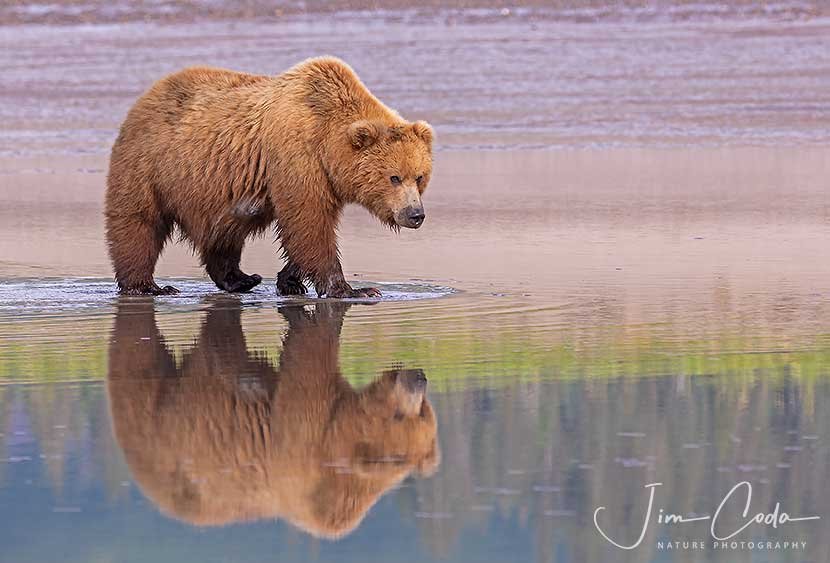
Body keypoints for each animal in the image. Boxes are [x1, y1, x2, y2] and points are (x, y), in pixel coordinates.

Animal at [105, 56, 434, 297]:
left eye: (419, 177)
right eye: (394, 177)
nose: (415, 214)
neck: (327, 143)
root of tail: (147, 95)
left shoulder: (325, 179)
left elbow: (304, 229)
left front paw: (290, 280)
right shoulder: (297, 156)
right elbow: (308, 223)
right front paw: (353, 289)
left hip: (217, 191)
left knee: (224, 232)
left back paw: (241, 278)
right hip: (149, 166)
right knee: (138, 223)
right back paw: (148, 286)